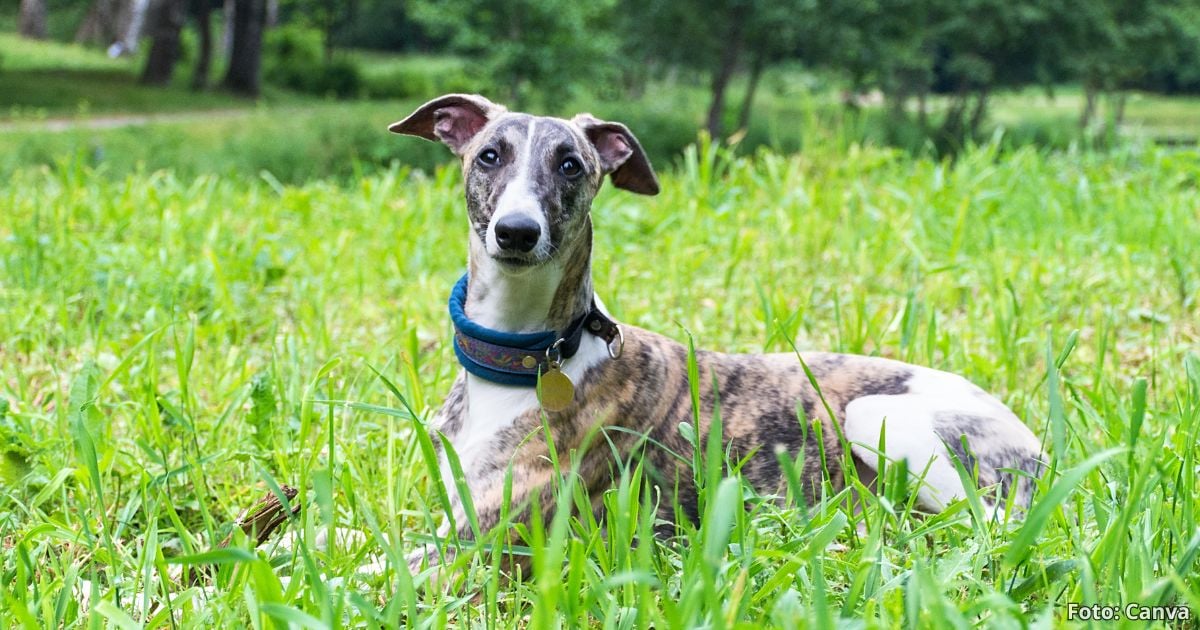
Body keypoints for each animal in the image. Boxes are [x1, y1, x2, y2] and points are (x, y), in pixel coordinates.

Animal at [388, 93, 1046, 580]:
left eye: (570, 164)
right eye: (489, 156)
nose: (518, 232)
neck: (529, 356)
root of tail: (1030, 435)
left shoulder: (483, 542)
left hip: (884, 417)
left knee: (989, 524)